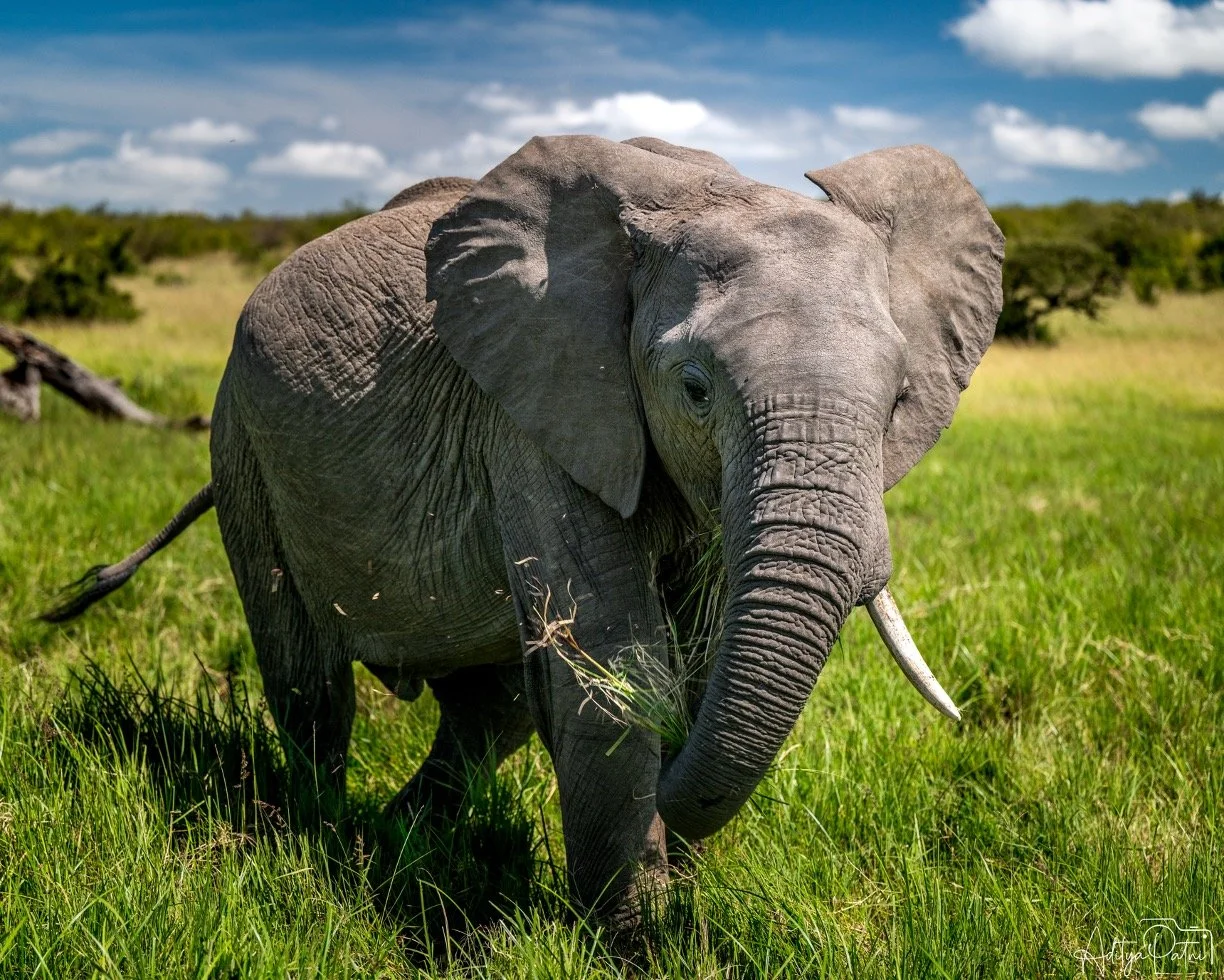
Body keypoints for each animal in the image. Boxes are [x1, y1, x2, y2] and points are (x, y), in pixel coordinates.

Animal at [45, 134, 1004, 925]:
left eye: (899, 401)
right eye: (694, 389)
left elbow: (691, 660)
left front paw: (676, 909)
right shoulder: (537, 412)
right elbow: (610, 666)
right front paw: (636, 941)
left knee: (492, 707)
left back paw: (400, 840)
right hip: (240, 439)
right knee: (311, 682)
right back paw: (320, 840)